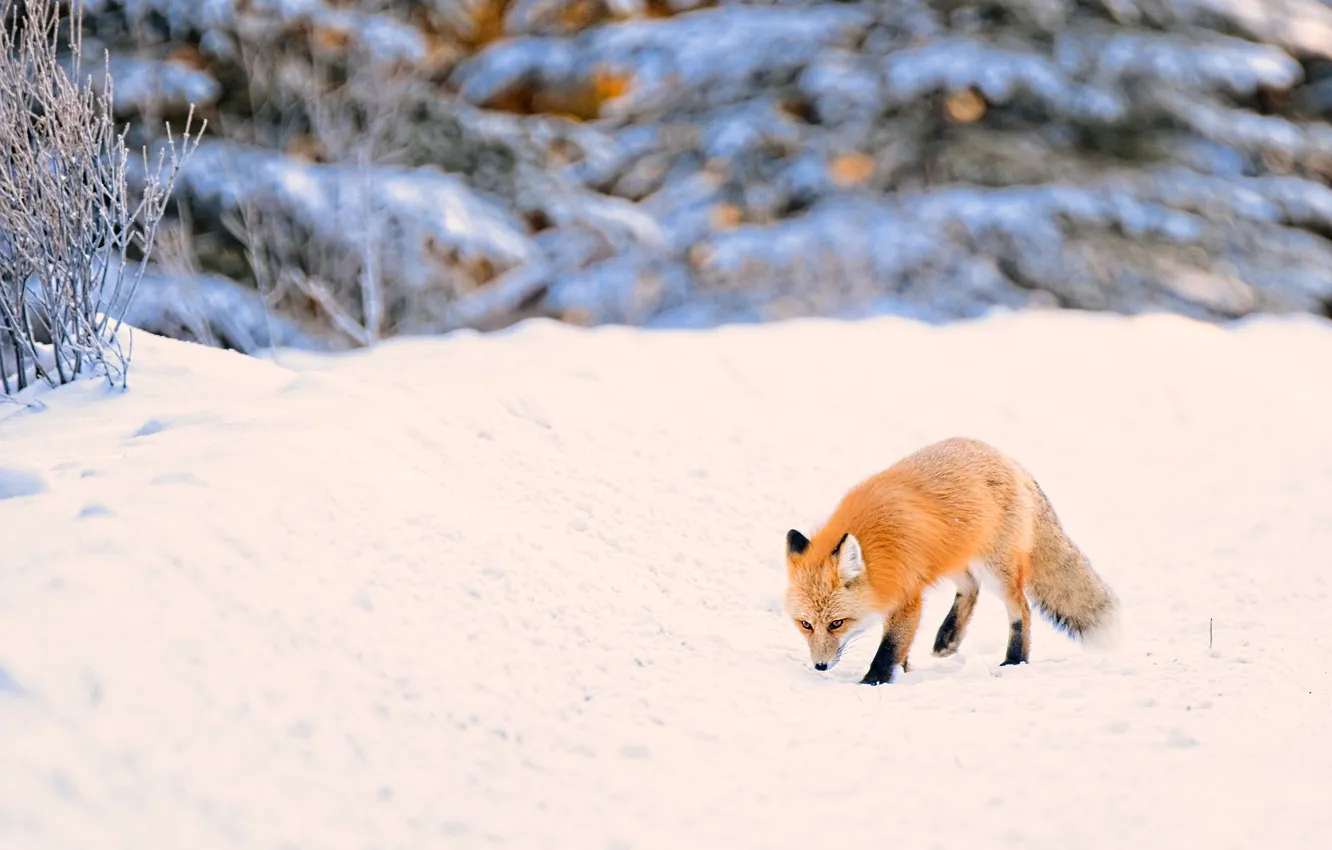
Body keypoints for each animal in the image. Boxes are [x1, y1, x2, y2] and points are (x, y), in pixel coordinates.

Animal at [783, 436, 1117, 685]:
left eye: (837, 623)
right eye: (806, 624)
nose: (820, 666)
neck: (878, 549)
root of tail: (1011, 461)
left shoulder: (908, 597)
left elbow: (890, 647)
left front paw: (874, 681)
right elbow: (901, 644)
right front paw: (902, 670)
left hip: (996, 570)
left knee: (1020, 608)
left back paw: (1014, 659)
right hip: (952, 558)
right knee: (971, 589)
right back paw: (949, 637)